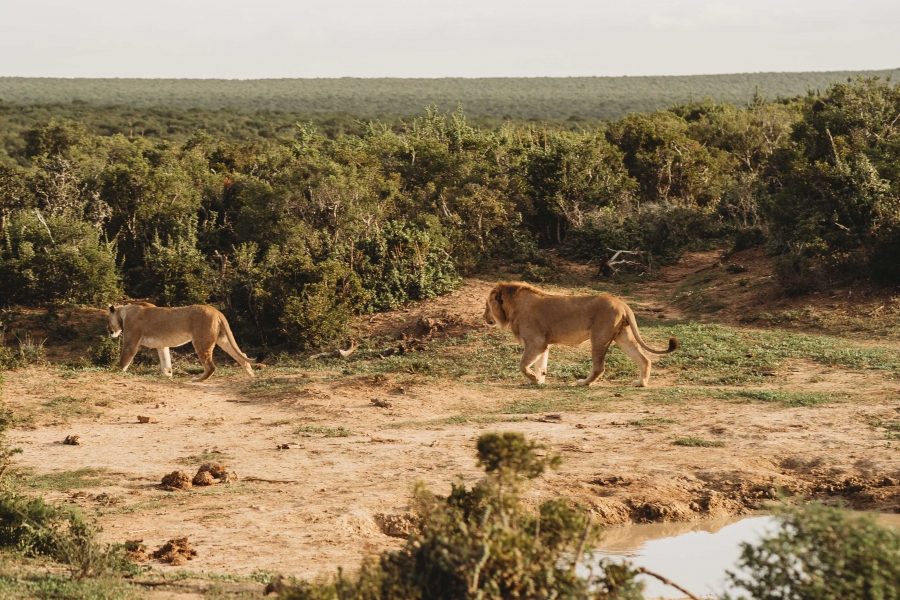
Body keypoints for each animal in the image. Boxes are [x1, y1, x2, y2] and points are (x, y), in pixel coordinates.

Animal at [107, 302, 260, 382]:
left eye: (107, 320)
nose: (109, 330)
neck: (124, 312)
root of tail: (217, 311)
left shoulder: (131, 342)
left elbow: (124, 360)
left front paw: (116, 372)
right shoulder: (162, 345)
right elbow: (166, 363)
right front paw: (168, 376)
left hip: (201, 340)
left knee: (210, 366)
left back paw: (198, 379)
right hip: (223, 339)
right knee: (242, 356)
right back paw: (251, 376)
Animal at [486, 282, 676, 386]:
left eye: (487, 305)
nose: (484, 317)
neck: (512, 306)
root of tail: (622, 303)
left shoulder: (536, 342)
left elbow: (523, 365)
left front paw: (533, 378)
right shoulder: (543, 344)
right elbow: (541, 365)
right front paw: (539, 380)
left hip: (599, 337)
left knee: (599, 367)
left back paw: (584, 382)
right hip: (624, 336)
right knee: (644, 359)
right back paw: (640, 383)